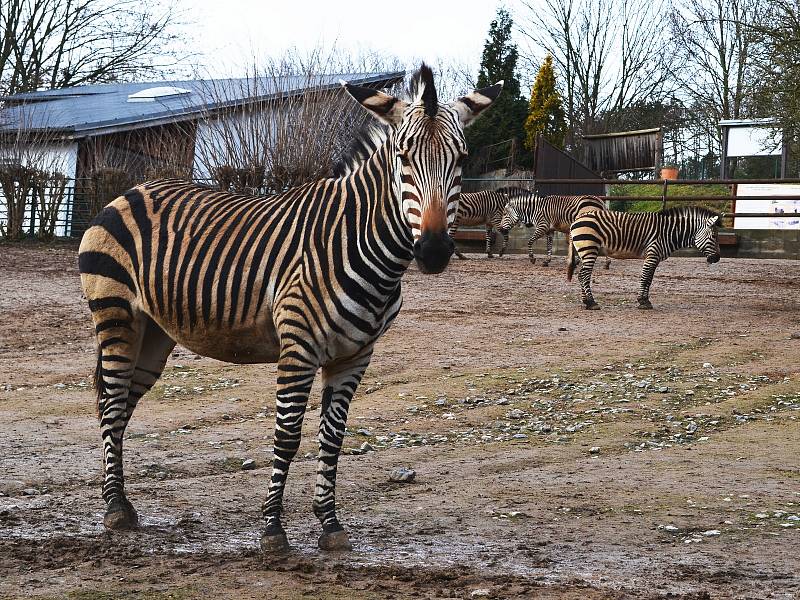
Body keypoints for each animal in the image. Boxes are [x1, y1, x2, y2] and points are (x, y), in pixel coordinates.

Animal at [76, 65, 500, 552]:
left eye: (462, 159)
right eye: (402, 156)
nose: (433, 251)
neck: (358, 241)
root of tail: (129, 191)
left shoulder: (355, 356)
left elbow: (332, 438)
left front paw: (330, 524)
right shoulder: (298, 346)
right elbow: (288, 434)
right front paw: (273, 528)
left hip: (155, 333)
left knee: (121, 404)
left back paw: (121, 501)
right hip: (116, 315)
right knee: (111, 403)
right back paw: (113, 508)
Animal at [564, 205, 720, 310]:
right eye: (713, 236)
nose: (717, 258)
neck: (669, 232)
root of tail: (577, 219)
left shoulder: (655, 257)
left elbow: (649, 279)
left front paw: (644, 300)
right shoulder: (652, 254)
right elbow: (645, 278)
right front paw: (643, 301)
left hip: (584, 251)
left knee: (582, 275)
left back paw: (586, 302)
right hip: (589, 249)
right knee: (584, 275)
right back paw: (591, 303)